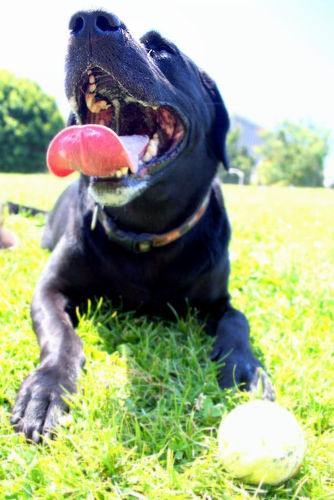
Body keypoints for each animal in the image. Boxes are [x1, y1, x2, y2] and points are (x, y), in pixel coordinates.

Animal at [11, 10, 274, 442]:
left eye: (164, 50)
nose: (87, 21)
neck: (145, 230)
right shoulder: (50, 289)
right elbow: (61, 335)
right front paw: (46, 390)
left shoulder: (220, 299)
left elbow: (239, 319)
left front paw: (246, 370)